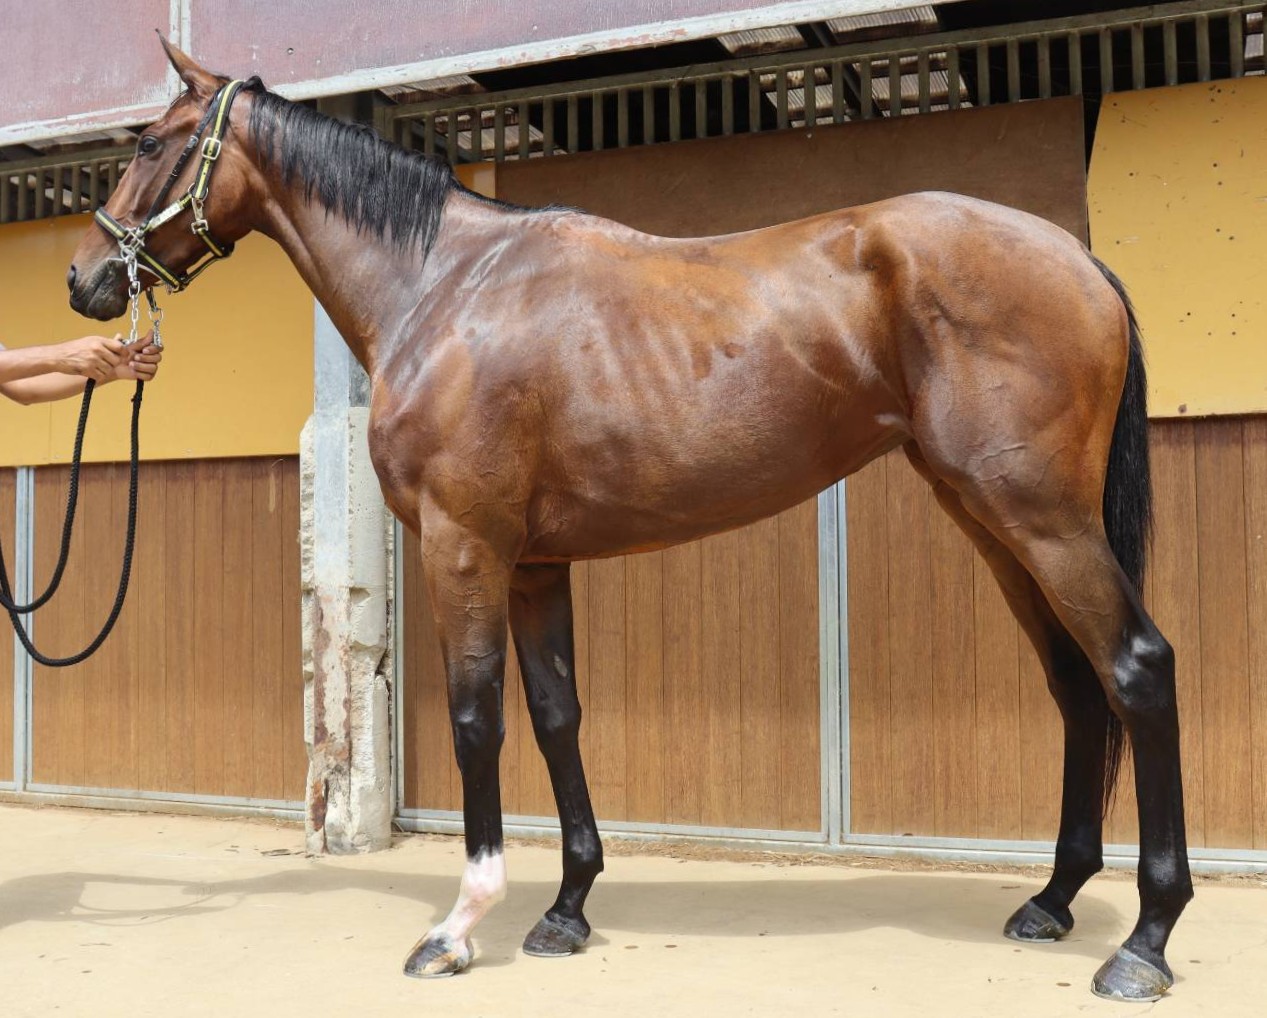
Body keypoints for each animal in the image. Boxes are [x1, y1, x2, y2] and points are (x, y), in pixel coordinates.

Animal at [67, 39, 1191, 1003]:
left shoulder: (463, 547)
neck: (445, 286)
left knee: (1135, 665)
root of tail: (1078, 261)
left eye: (153, 144)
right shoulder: (533, 562)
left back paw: (1142, 941)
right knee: (1074, 683)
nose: (85, 279)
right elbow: (557, 714)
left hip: (1040, 517)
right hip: (989, 521)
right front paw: (565, 910)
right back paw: (1051, 900)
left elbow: (477, 718)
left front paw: (458, 927)